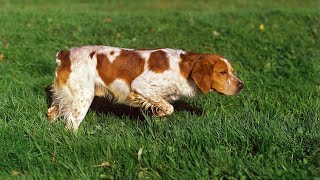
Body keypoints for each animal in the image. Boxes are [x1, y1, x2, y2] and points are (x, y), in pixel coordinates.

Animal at [47, 45, 242, 131]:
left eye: (231, 71)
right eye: (222, 72)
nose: (241, 85)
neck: (183, 68)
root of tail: (65, 54)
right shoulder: (141, 85)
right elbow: (169, 108)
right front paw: (158, 113)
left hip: (67, 96)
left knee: (52, 112)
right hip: (83, 97)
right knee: (71, 123)